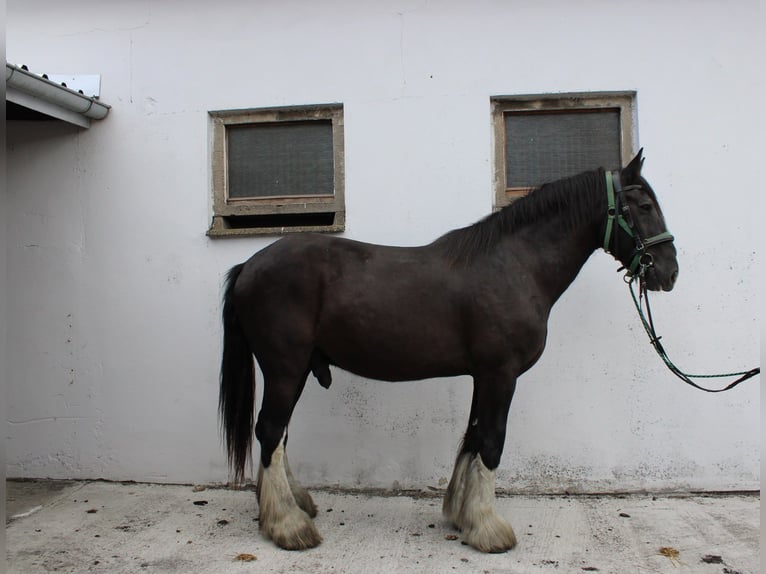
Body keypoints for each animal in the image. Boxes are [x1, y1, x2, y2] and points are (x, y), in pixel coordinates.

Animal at [218, 149, 678, 553]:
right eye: (643, 204)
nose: (669, 271)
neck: (515, 265)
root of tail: (249, 266)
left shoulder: (484, 375)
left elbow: (472, 437)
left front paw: (464, 515)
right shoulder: (500, 374)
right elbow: (491, 442)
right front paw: (490, 529)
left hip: (293, 371)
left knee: (278, 435)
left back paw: (293, 506)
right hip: (285, 367)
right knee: (270, 431)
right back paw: (287, 525)